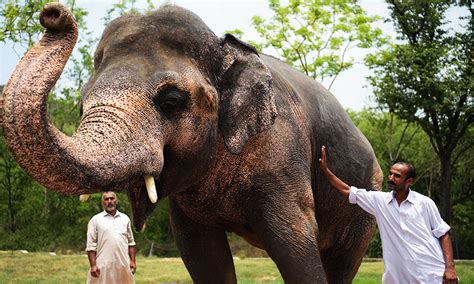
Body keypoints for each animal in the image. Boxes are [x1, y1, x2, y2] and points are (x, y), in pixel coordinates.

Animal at [1, 2, 384, 284]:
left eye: (171, 100)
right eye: (81, 106)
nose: (53, 14)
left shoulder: (283, 154)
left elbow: (295, 247)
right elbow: (201, 254)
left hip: (367, 198)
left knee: (340, 263)